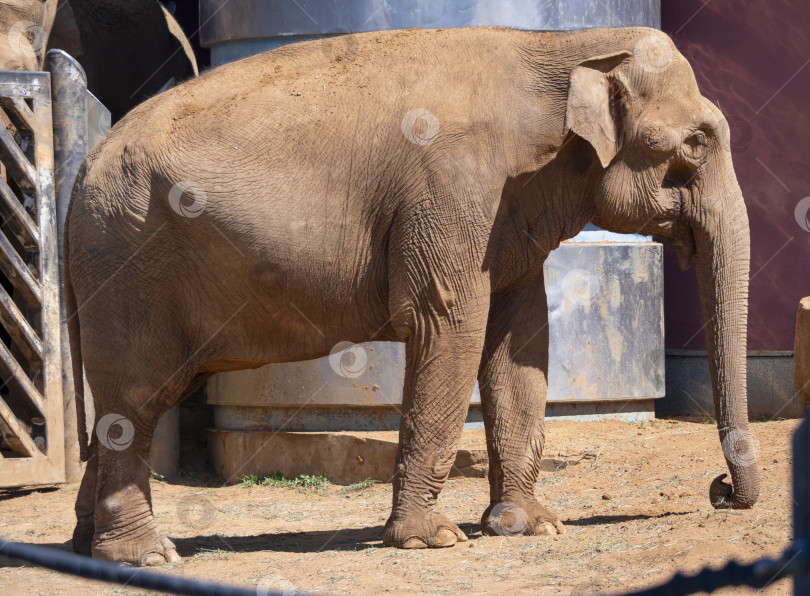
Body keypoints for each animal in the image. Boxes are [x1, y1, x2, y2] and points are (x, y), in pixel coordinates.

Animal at [64, 26, 756, 568]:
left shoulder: (506, 215)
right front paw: (435, 540)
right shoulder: (451, 193)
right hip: (127, 263)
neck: (560, 47)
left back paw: (84, 548)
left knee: (120, 408)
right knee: (137, 398)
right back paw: (145, 556)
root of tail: (84, 162)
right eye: (696, 142)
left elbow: (520, 345)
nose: (720, 490)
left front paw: (529, 526)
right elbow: (449, 329)